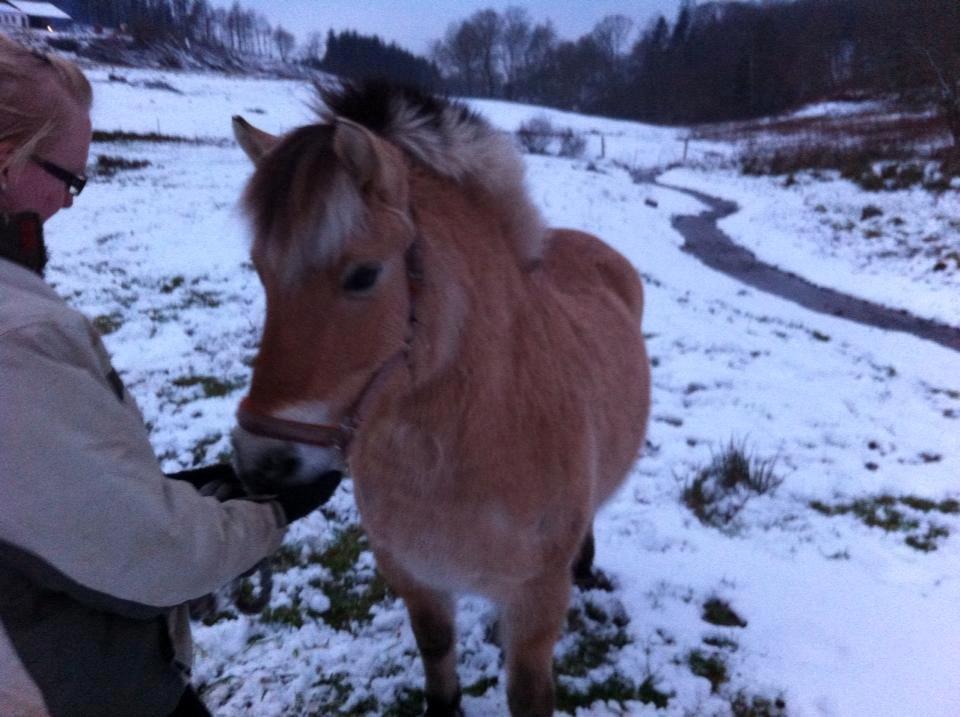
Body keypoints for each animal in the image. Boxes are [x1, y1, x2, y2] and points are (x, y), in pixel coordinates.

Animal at [231, 81, 652, 712]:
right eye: (260, 269)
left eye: (364, 275)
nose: (262, 464)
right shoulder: (414, 577)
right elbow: (437, 659)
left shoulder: (535, 604)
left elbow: (528, 693)